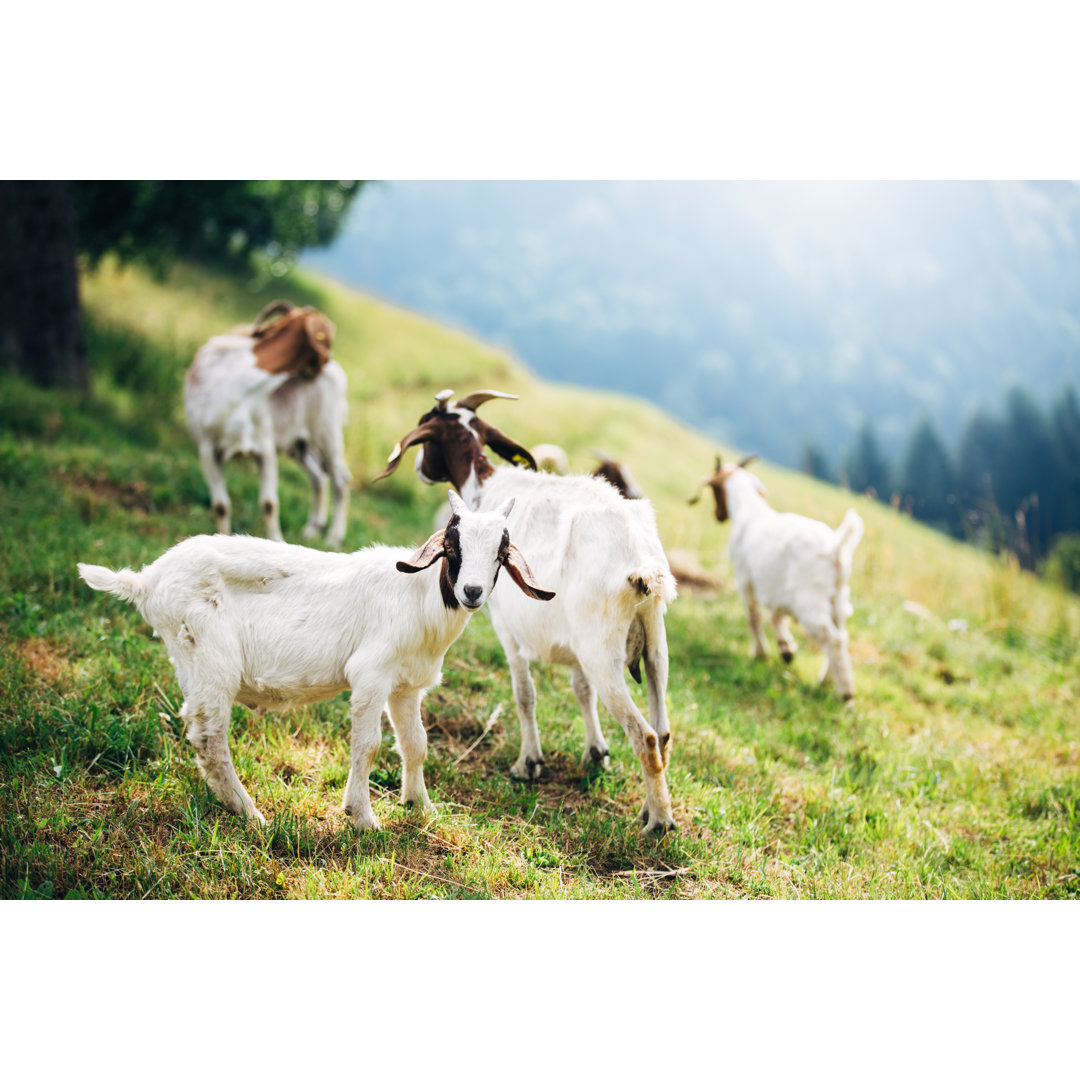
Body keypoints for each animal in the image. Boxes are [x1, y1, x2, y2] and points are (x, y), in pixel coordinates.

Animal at [73, 494, 557, 829]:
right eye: (452, 548)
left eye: (500, 553)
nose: (472, 592)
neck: (419, 597)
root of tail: (146, 581)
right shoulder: (370, 677)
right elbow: (368, 746)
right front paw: (363, 817)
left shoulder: (406, 685)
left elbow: (416, 744)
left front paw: (421, 806)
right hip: (209, 658)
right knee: (209, 737)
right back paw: (250, 814)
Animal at [183, 302, 352, 548]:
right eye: (328, 335)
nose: (324, 363)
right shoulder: (207, 449)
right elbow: (221, 506)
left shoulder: (265, 447)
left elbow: (269, 504)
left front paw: (278, 542)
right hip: (300, 444)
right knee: (319, 478)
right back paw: (312, 530)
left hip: (327, 432)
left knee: (341, 480)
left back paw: (333, 538)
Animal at [375, 388, 678, 833]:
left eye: (426, 428)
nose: (419, 468)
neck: (484, 490)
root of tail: (641, 563)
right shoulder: (572, 642)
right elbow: (580, 690)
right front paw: (595, 752)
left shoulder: (507, 626)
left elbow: (525, 694)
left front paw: (529, 763)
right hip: (653, 643)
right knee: (664, 730)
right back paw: (650, 806)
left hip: (603, 651)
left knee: (647, 737)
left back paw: (658, 822)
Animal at [695, 455, 864, 699]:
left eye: (715, 490)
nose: (718, 516)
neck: (750, 512)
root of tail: (836, 547)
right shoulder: (777, 589)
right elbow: (776, 616)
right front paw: (786, 649)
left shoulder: (744, 578)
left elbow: (754, 616)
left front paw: (760, 653)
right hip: (838, 600)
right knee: (840, 634)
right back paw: (827, 679)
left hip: (809, 600)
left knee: (834, 639)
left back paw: (845, 694)